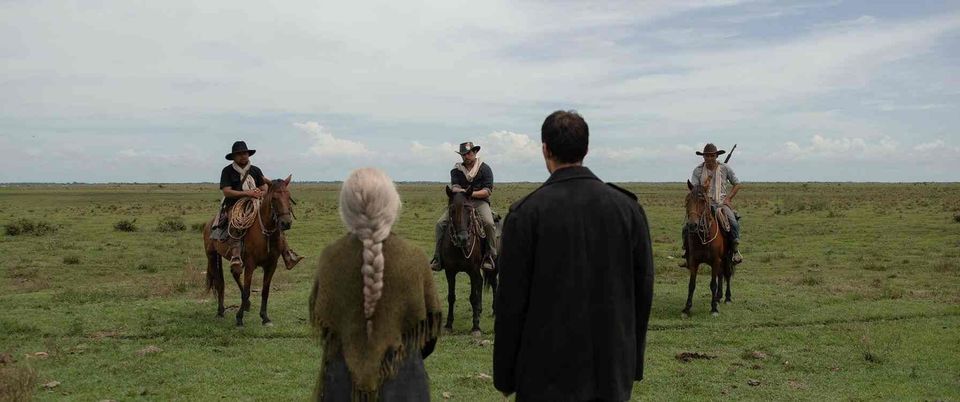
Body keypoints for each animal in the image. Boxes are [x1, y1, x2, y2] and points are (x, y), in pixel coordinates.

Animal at [202, 175, 296, 327]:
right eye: (274, 198)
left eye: (289, 196)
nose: (286, 223)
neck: (265, 234)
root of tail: (209, 224)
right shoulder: (250, 264)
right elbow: (247, 290)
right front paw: (239, 318)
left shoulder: (271, 265)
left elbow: (265, 291)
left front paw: (265, 317)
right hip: (212, 256)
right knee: (219, 282)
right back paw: (220, 311)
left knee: (235, 273)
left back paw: (246, 305)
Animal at [439, 187, 499, 336]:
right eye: (452, 209)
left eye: (468, 209)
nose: (463, 238)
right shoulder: (450, 272)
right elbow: (451, 296)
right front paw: (448, 325)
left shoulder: (472, 271)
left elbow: (473, 297)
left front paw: (476, 327)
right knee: (481, 282)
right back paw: (480, 310)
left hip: (495, 265)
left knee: (494, 283)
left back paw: (494, 311)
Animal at [681, 179, 734, 317]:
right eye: (687, 200)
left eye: (703, 201)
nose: (692, 225)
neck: (704, 237)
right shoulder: (693, 261)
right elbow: (691, 285)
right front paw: (686, 308)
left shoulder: (715, 260)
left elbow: (713, 284)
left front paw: (714, 308)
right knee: (721, 275)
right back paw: (718, 297)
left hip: (726, 258)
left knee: (727, 274)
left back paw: (727, 298)